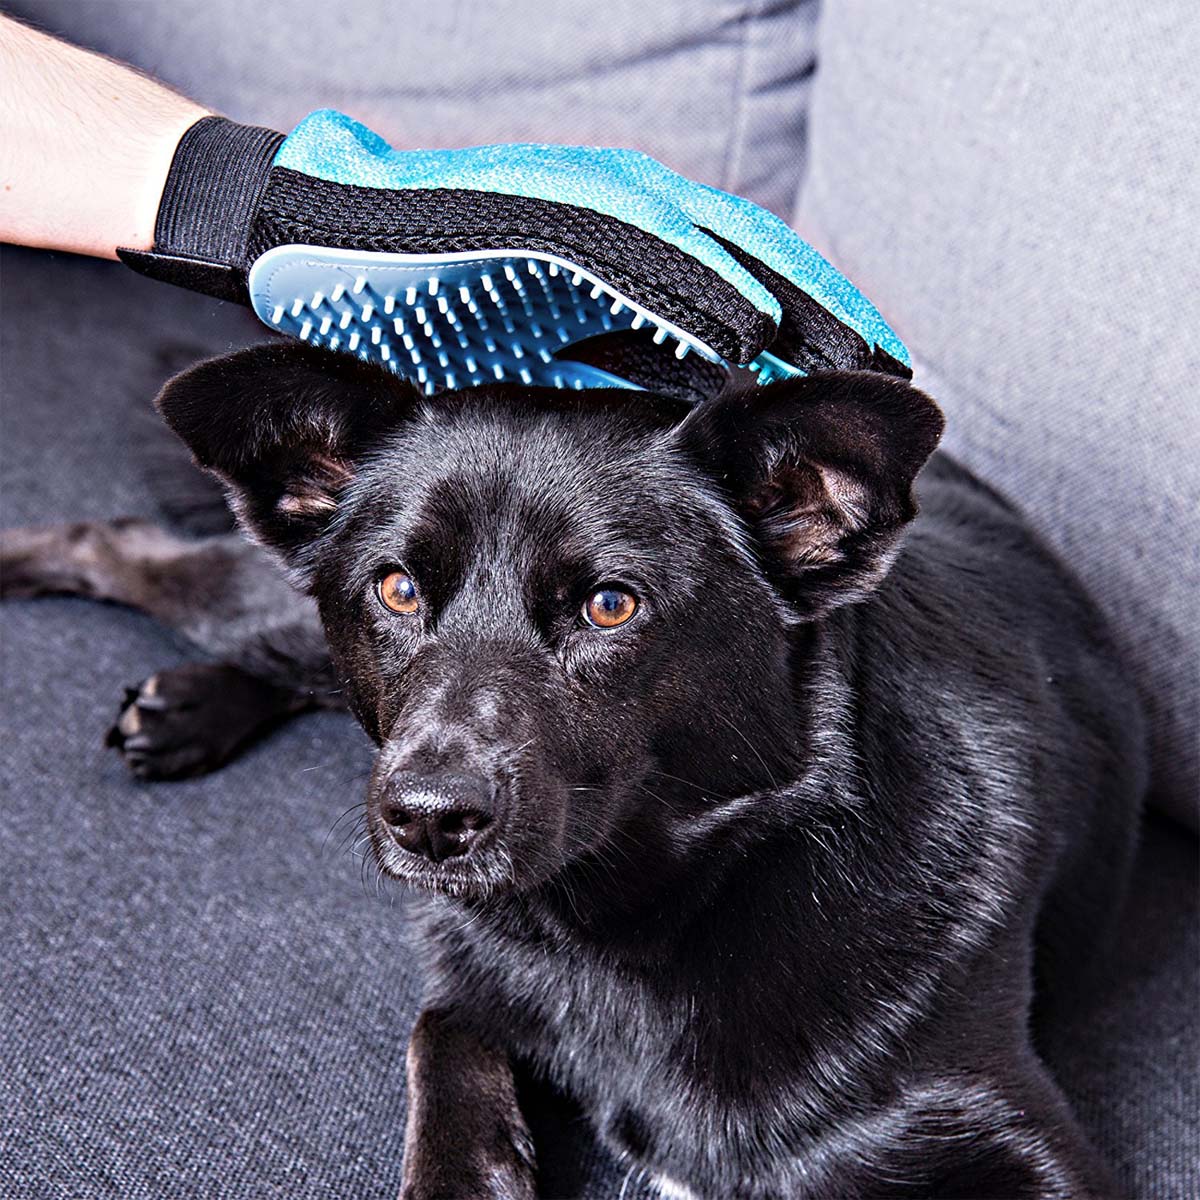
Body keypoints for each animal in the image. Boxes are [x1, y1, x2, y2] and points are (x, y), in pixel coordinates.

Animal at [1, 342, 1145, 1198]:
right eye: (397, 588)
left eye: (609, 606)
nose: (428, 820)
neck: (640, 922)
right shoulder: (474, 975)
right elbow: (439, 1046)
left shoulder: (1010, 1137)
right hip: (272, 607)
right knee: (136, 545)